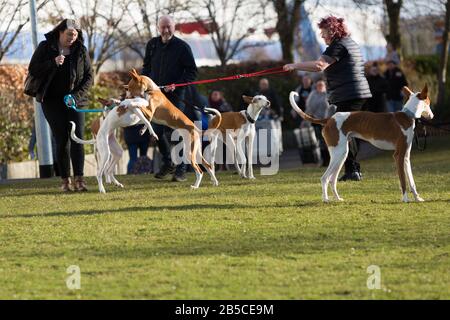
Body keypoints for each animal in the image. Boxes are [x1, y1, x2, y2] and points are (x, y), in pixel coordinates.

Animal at [71, 69, 223, 192]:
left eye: (129, 87)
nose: (125, 96)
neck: (151, 90)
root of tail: (195, 128)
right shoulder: (145, 114)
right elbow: (144, 119)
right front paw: (142, 127)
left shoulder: (149, 112)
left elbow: (142, 112)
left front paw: (127, 104)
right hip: (194, 152)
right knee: (207, 166)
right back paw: (213, 182)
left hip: (190, 153)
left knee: (201, 169)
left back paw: (199, 185)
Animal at [290, 84, 434, 201]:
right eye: (429, 102)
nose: (432, 116)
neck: (407, 115)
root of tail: (329, 119)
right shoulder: (398, 155)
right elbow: (403, 180)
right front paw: (405, 199)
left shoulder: (406, 157)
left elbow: (411, 181)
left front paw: (417, 198)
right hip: (338, 153)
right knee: (325, 178)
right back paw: (325, 199)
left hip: (342, 154)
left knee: (332, 179)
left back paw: (337, 198)